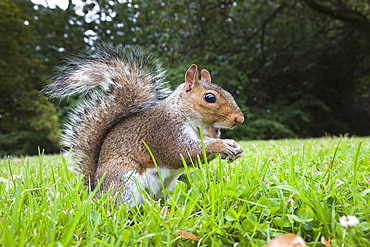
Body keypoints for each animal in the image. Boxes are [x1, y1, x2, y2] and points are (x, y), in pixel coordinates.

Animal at [43, 45, 244, 207]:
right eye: (209, 98)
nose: (239, 119)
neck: (185, 116)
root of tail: (97, 191)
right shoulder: (164, 131)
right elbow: (181, 153)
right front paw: (222, 145)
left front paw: (235, 147)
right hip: (125, 182)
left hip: (165, 187)